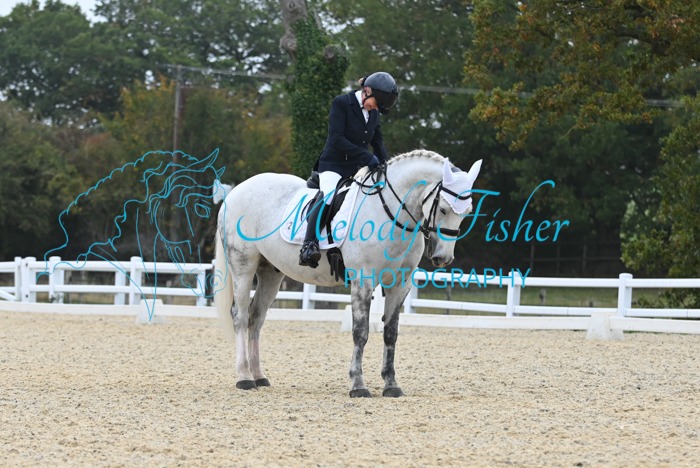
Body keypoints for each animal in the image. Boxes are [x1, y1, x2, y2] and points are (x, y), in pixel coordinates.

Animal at [215, 149, 482, 397]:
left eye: (467, 211)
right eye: (444, 209)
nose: (443, 258)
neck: (390, 213)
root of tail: (236, 191)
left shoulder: (399, 285)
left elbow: (390, 334)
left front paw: (391, 385)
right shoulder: (363, 281)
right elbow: (360, 333)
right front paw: (358, 385)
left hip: (271, 272)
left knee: (256, 317)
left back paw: (259, 376)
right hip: (243, 265)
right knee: (240, 316)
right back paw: (244, 378)